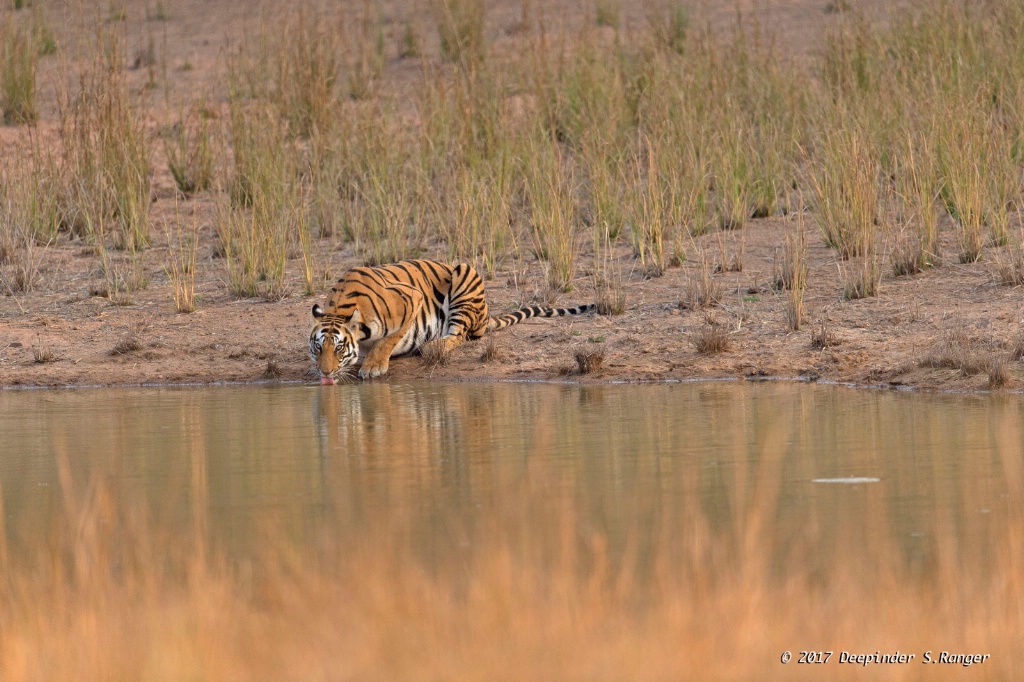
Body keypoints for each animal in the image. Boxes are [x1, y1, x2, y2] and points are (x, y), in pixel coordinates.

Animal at [307, 258, 598, 378]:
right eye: (318, 348)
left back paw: (432, 345)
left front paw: (373, 366)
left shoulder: (411, 298)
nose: (325, 372)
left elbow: (389, 339)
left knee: (460, 335)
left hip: (464, 275)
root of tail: (487, 313)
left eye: (339, 348)